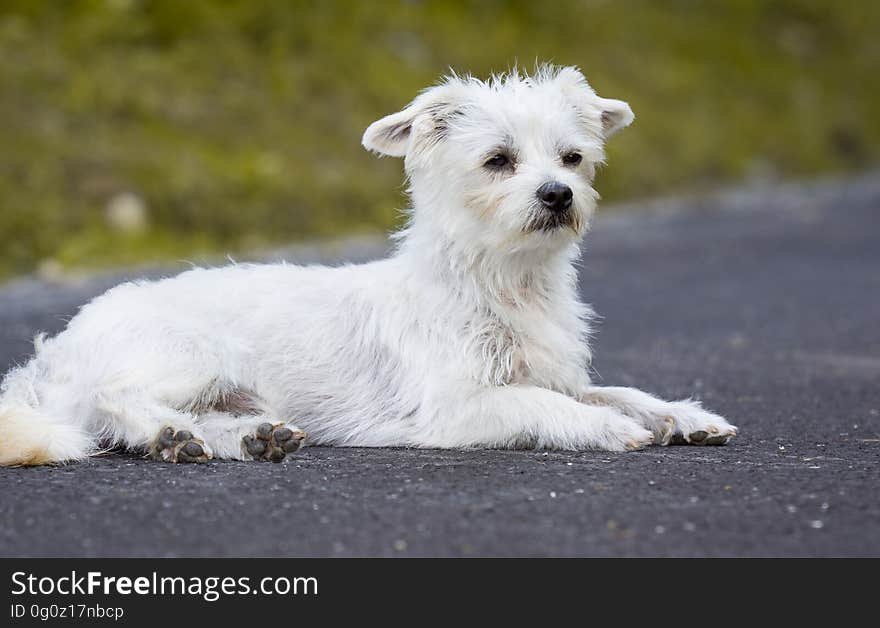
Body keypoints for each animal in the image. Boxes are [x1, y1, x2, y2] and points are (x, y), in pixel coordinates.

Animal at [0, 66, 736, 466]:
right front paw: (608, 429)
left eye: (573, 158)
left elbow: (614, 390)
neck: (501, 282)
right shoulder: (457, 407)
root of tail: (54, 353)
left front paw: (679, 414)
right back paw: (166, 433)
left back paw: (240, 438)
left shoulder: (554, 373)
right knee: (112, 399)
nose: (558, 195)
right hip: (191, 354)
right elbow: (544, 405)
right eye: (498, 160)